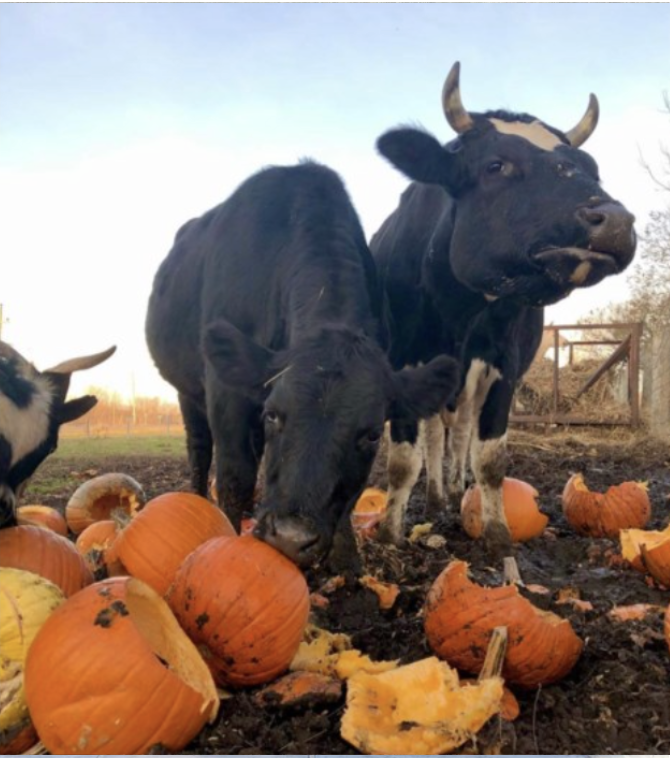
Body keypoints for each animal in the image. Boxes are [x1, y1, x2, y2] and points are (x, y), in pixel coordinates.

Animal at [145, 161, 460, 570]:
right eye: (274, 414)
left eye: (373, 434)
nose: (291, 537)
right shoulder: (225, 391)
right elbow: (234, 475)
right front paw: (227, 535)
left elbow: (347, 500)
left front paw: (348, 561)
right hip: (188, 390)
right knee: (199, 448)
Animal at [370, 63, 637, 556]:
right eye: (496, 165)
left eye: (592, 168)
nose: (616, 222)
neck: (457, 310)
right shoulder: (404, 365)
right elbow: (402, 460)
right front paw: (391, 533)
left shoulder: (502, 368)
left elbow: (490, 457)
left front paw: (497, 533)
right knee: (436, 435)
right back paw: (436, 494)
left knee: (458, 435)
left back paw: (455, 487)